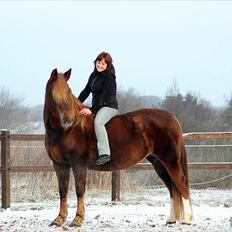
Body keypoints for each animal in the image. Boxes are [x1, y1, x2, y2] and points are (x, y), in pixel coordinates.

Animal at [43, 68, 192, 227]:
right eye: (54, 95)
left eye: (68, 91)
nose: (68, 120)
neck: (67, 131)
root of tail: (172, 118)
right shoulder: (59, 165)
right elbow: (62, 191)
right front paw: (59, 219)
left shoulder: (79, 164)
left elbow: (79, 190)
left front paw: (77, 219)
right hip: (158, 162)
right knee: (171, 186)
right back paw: (171, 219)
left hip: (170, 160)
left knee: (181, 182)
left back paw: (187, 219)